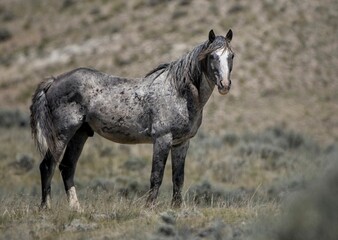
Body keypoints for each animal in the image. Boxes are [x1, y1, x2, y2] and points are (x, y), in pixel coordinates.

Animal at [30, 29, 234, 211]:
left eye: (231, 56)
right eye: (212, 56)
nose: (224, 85)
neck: (178, 92)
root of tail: (53, 81)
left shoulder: (181, 143)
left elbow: (178, 177)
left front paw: (176, 207)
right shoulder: (162, 139)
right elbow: (156, 175)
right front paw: (149, 207)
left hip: (80, 134)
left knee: (67, 167)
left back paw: (76, 208)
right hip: (62, 135)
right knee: (47, 166)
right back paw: (45, 208)